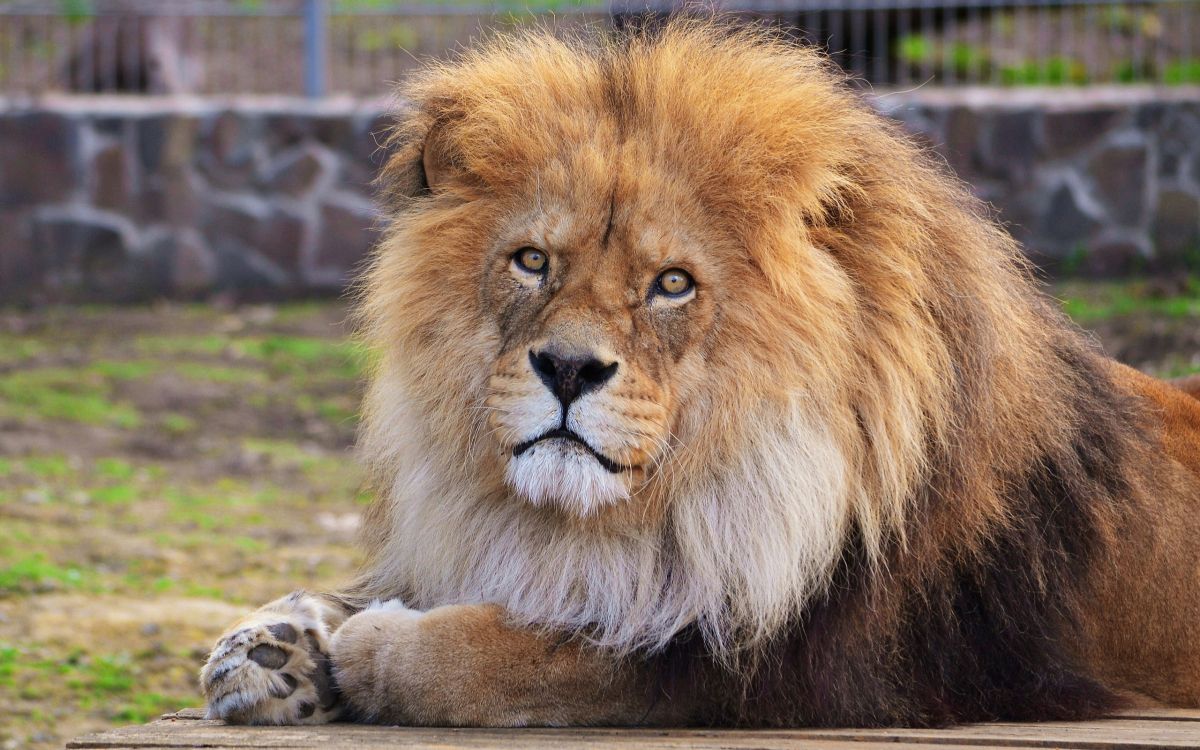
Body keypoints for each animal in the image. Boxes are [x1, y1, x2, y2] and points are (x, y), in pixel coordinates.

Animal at [199, 21, 1200, 727]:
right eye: (532, 262)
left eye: (672, 284)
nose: (567, 367)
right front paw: (275, 646)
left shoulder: (788, 664)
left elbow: (526, 657)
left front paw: (370, 647)